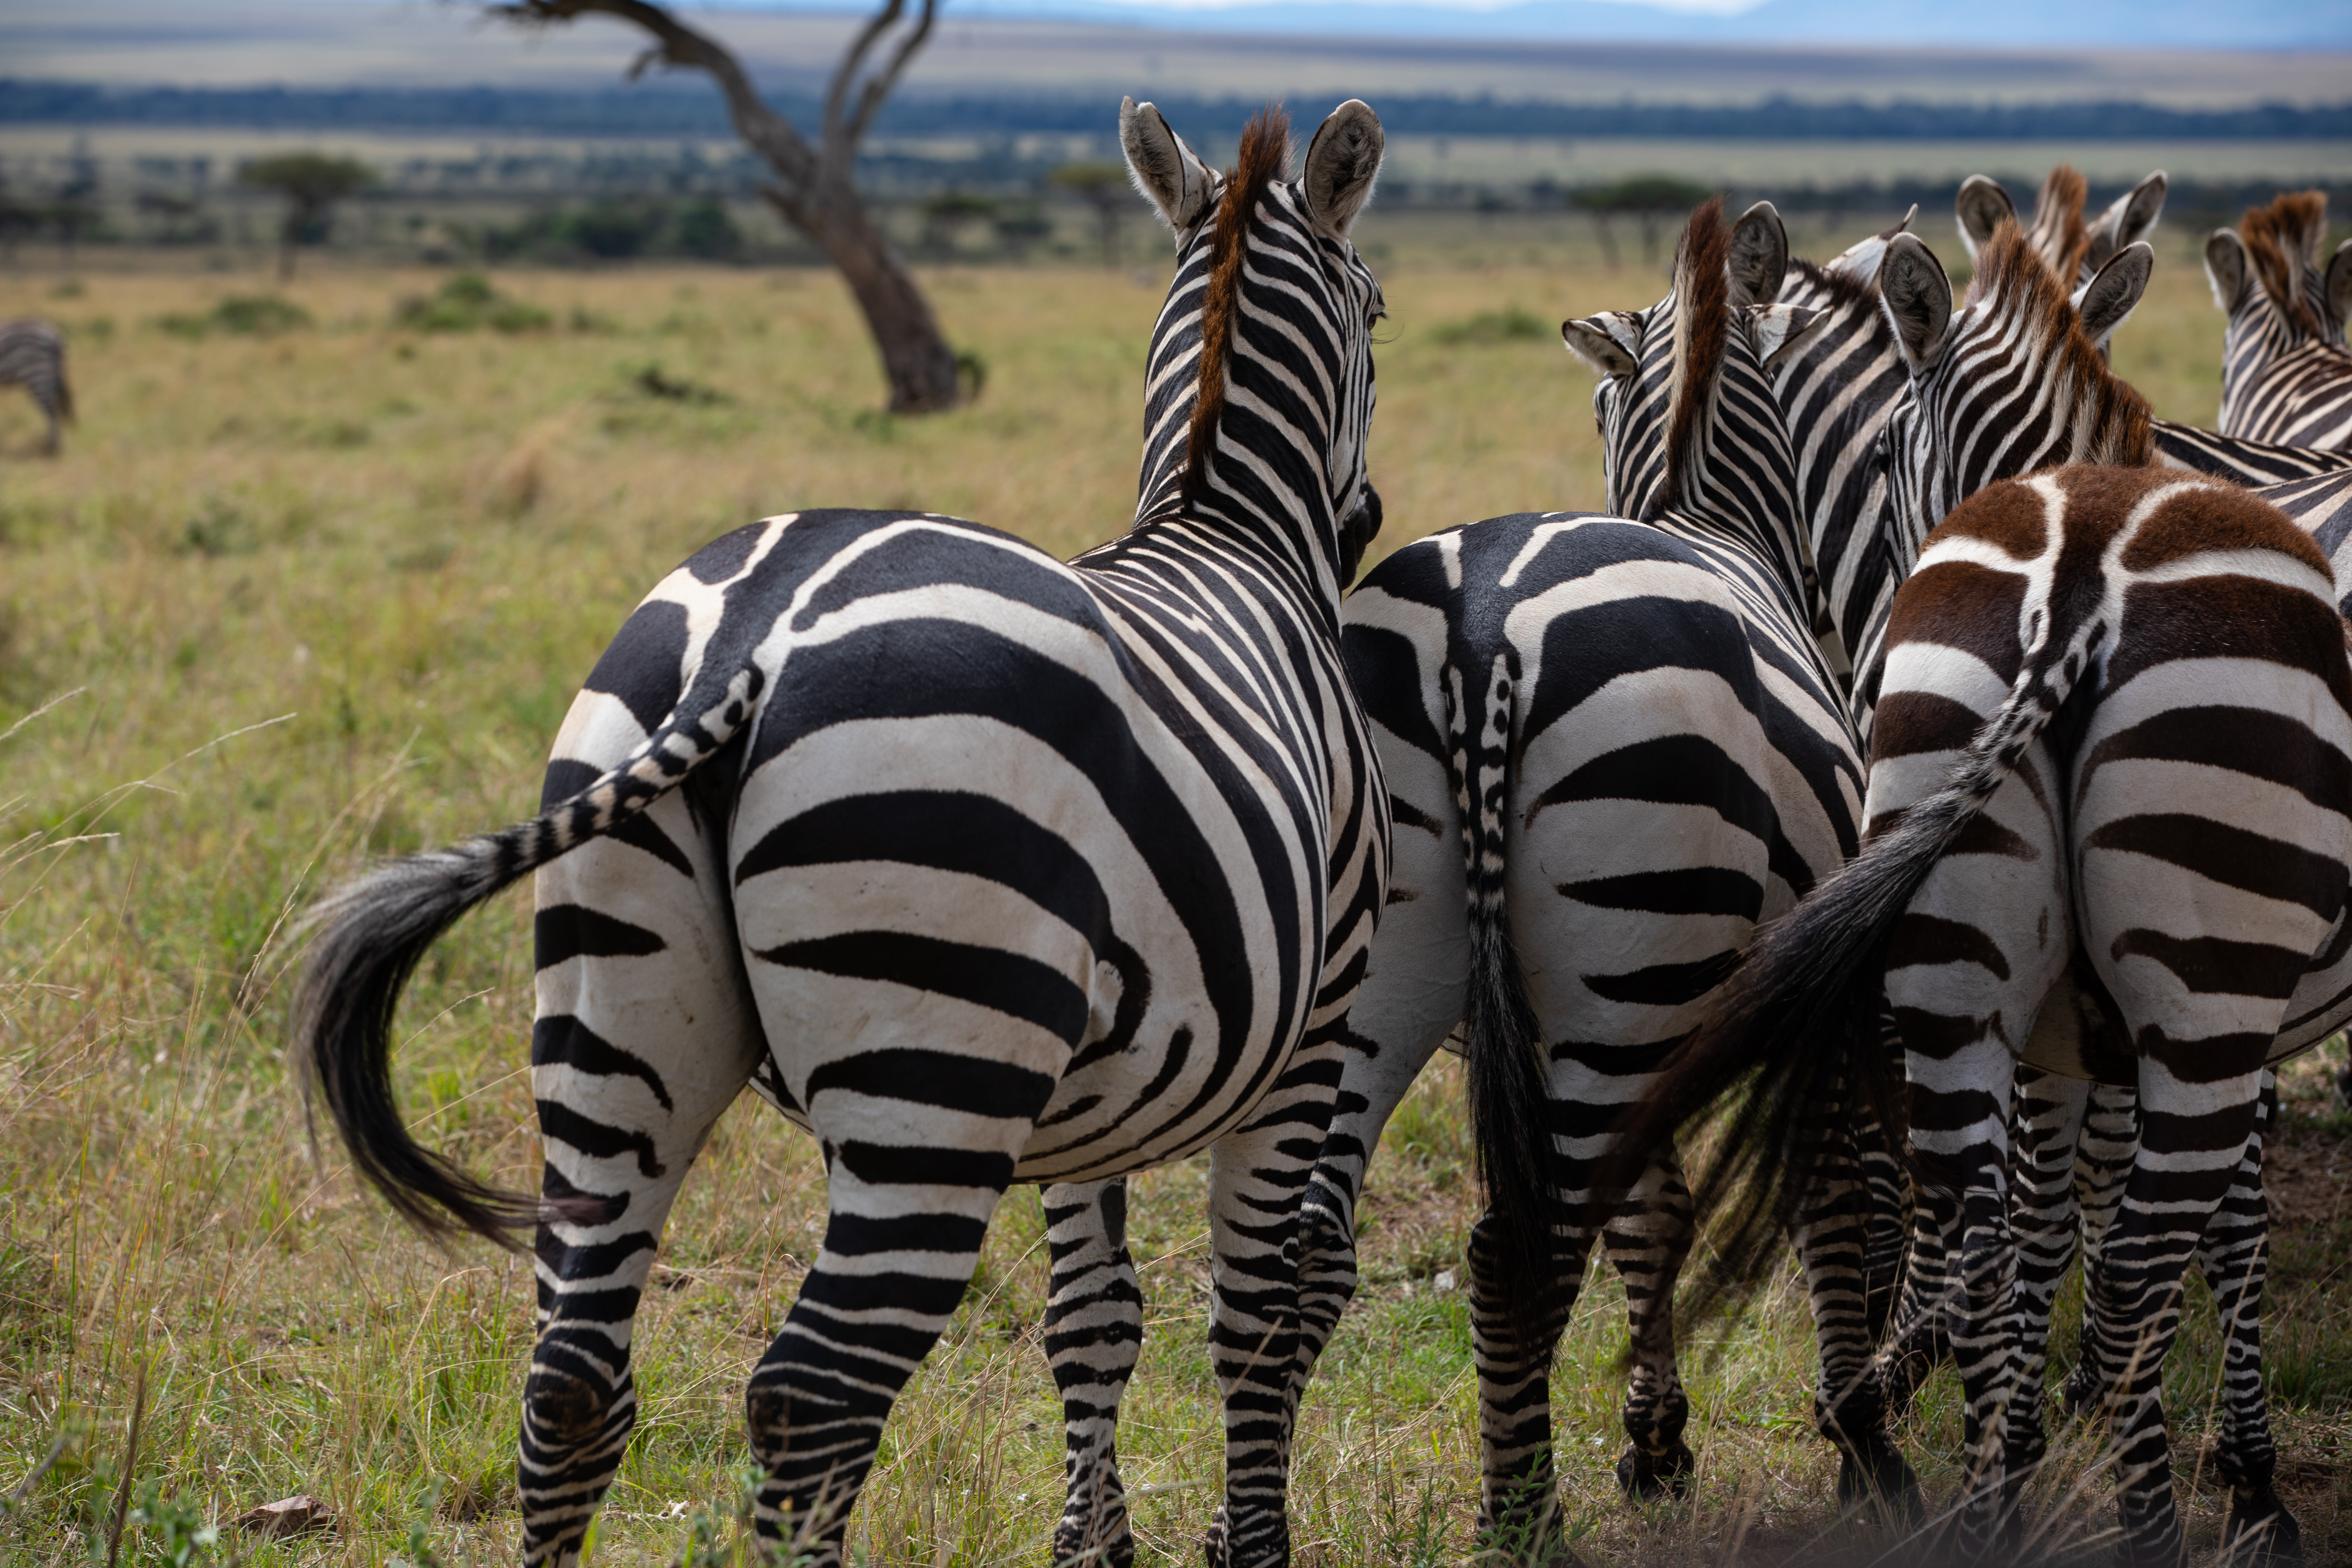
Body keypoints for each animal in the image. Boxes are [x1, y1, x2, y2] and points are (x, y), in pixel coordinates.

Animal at [293, 97, 1392, 1568]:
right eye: (1379, 314)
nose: (1367, 523)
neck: (1226, 533)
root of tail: (753, 639)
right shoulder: (1314, 1021)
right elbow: (1253, 1317)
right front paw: (1244, 1543)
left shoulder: (1089, 1090)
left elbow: (1092, 1321)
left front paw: (1094, 1547)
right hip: (934, 1064)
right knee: (812, 1395)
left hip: (617, 1026)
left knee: (571, 1380)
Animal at [1609, 221, 2348, 1564]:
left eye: (1882, 451)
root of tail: (2076, 582)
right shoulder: (2211, 1021)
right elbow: (2211, 1222)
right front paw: (2241, 1473)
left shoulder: (2060, 1024)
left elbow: (2059, 1219)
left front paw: (1999, 1416)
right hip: (2201, 982)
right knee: (2132, 1255)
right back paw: (2127, 1510)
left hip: (1971, 962)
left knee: (2002, 1231)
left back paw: (1986, 1496)